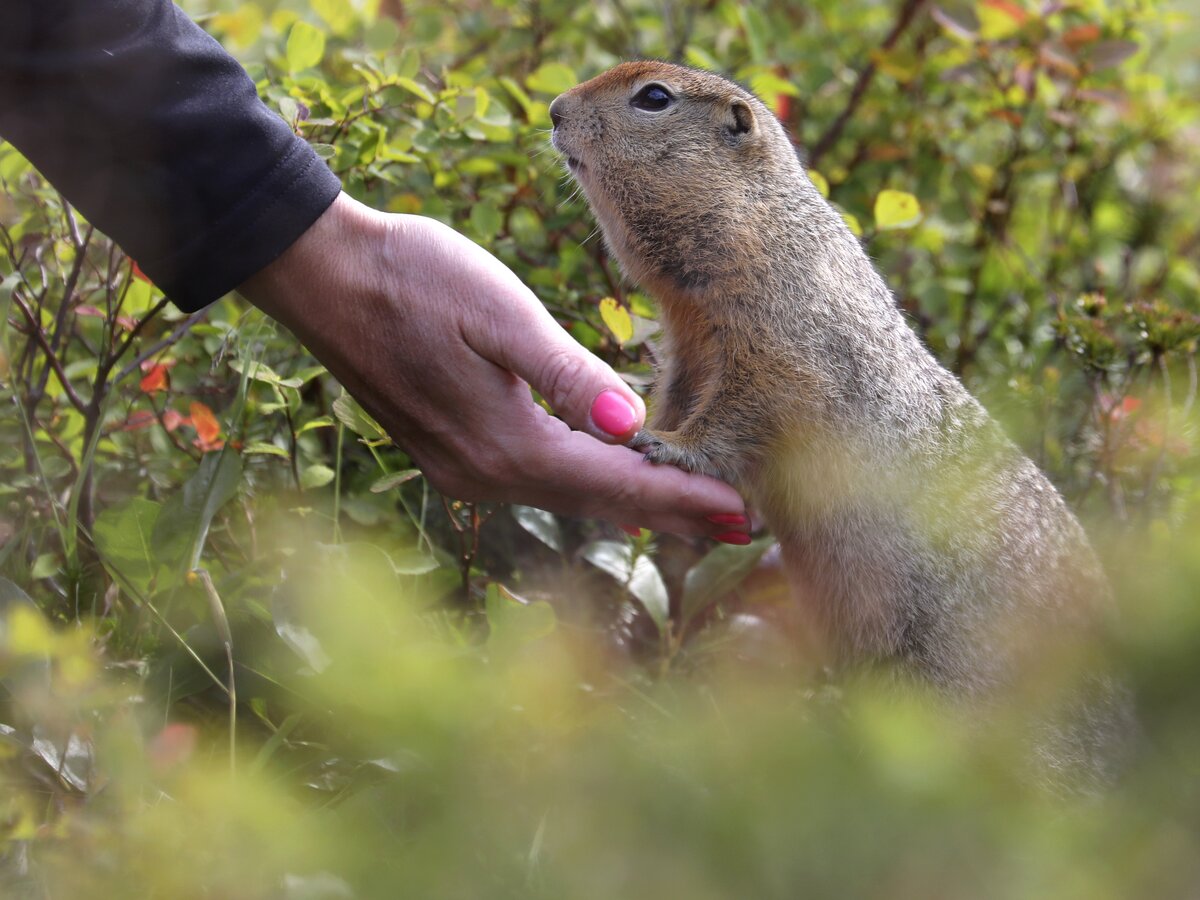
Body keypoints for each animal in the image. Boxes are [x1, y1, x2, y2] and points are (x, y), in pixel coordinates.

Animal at [549, 60, 1128, 777]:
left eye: (653, 97)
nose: (553, 109)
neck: (762, 225)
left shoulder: (783, 348)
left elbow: (741, 412)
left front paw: (667, 445)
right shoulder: (688, 351)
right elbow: (682, 394)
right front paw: (639, 425)